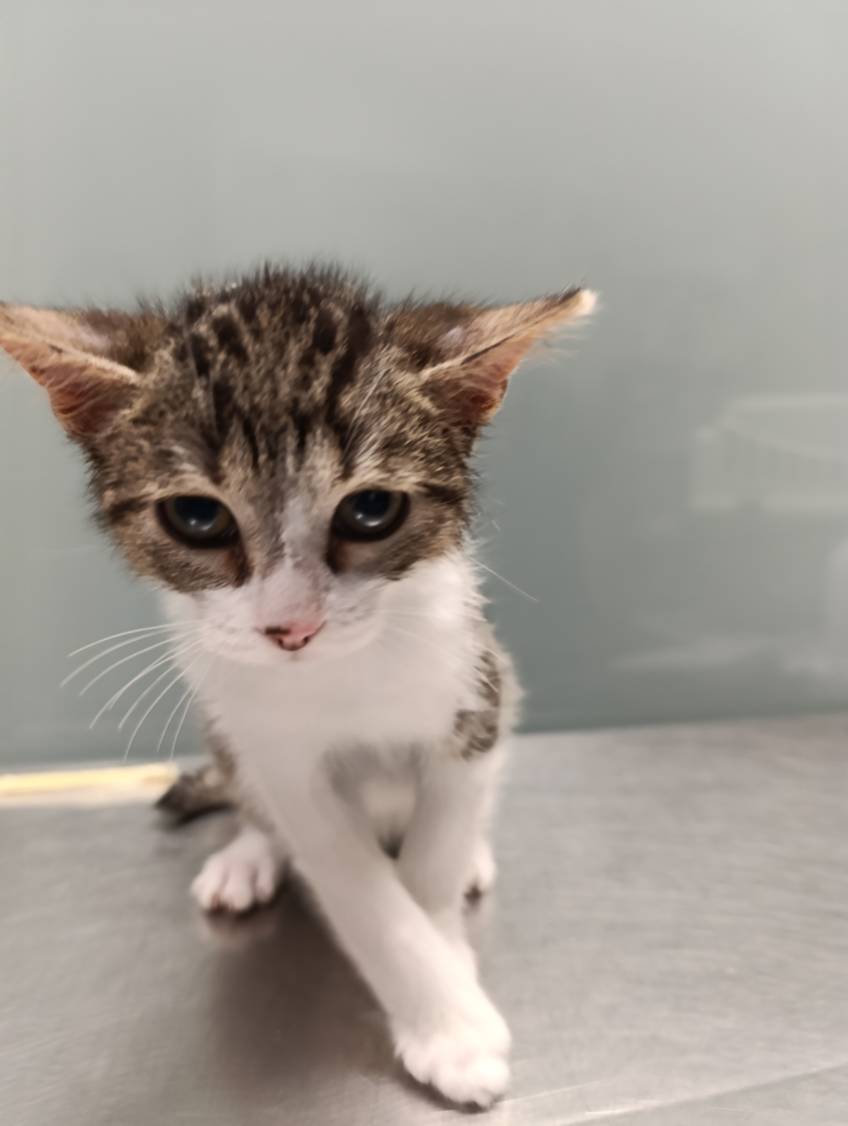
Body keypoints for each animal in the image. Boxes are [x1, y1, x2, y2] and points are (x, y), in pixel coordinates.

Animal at [0, 266, 595, 1108]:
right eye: (196, 516)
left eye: (371, 508)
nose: (292, 627)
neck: (342, 677)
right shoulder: (280, 758)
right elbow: (354, 884)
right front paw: (449, 1023)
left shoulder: (477, 694)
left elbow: (433, 857)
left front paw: (447, 955)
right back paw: (248, 857)